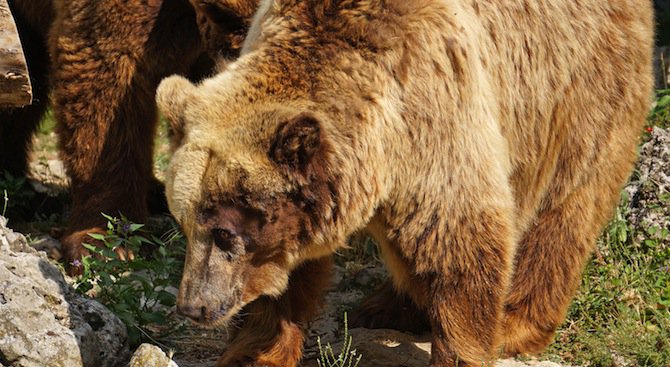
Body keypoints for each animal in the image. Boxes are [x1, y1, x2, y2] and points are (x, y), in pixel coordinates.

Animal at [159, 0, 656, 366]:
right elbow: (286, 281)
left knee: (566, 204)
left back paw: (515, 321)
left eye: (224, 231)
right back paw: (385, 306)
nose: (192, 306)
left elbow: (459, 243)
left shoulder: (439, 109)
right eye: (185, 223)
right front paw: (254, 350)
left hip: (575, 86)